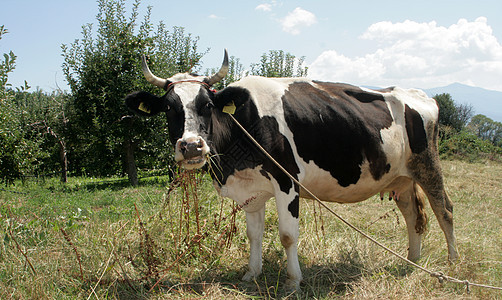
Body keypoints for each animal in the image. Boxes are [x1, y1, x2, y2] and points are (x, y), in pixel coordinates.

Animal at [124, 49, 458, 290]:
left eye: (207, 104)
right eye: (169, 107)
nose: (192, 147)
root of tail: (419, 95)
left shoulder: (287, 182)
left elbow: (287, 235)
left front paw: (293, 281)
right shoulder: (250, 189)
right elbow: (254, 234)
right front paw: (252, 273)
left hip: (428, 164)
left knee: (444, 211)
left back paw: (452, 264)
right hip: (401, 178)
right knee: (412, 215)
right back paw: (412, 261)